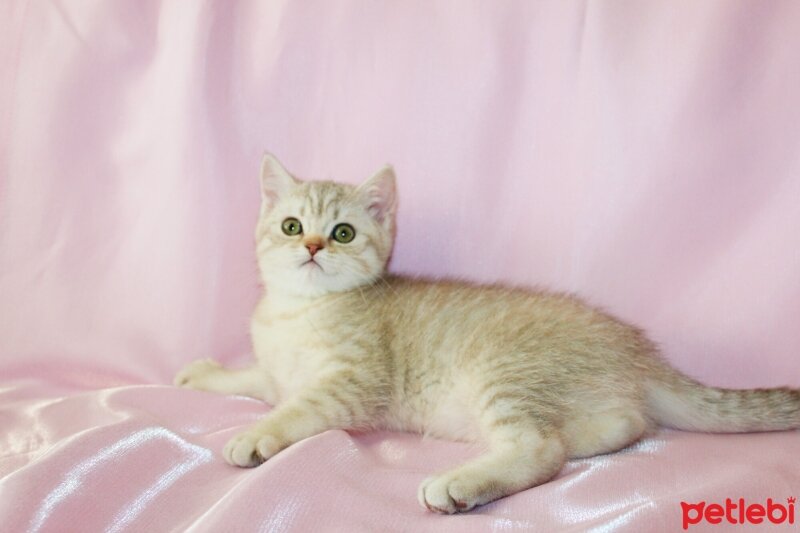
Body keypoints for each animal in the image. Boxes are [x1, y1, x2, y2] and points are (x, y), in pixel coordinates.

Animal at [175, 153, 800, 512]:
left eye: (344, 233)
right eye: (291, 225)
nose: (310, 246)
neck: (295, 312)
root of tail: (638, 350)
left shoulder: (351, 385)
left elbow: (294, 409)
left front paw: (257, 434)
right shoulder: (278, 372)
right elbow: (255, 379)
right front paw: (202, 375)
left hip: (504, 373)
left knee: (542, 450)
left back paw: (459, 485)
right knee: (619, 425)